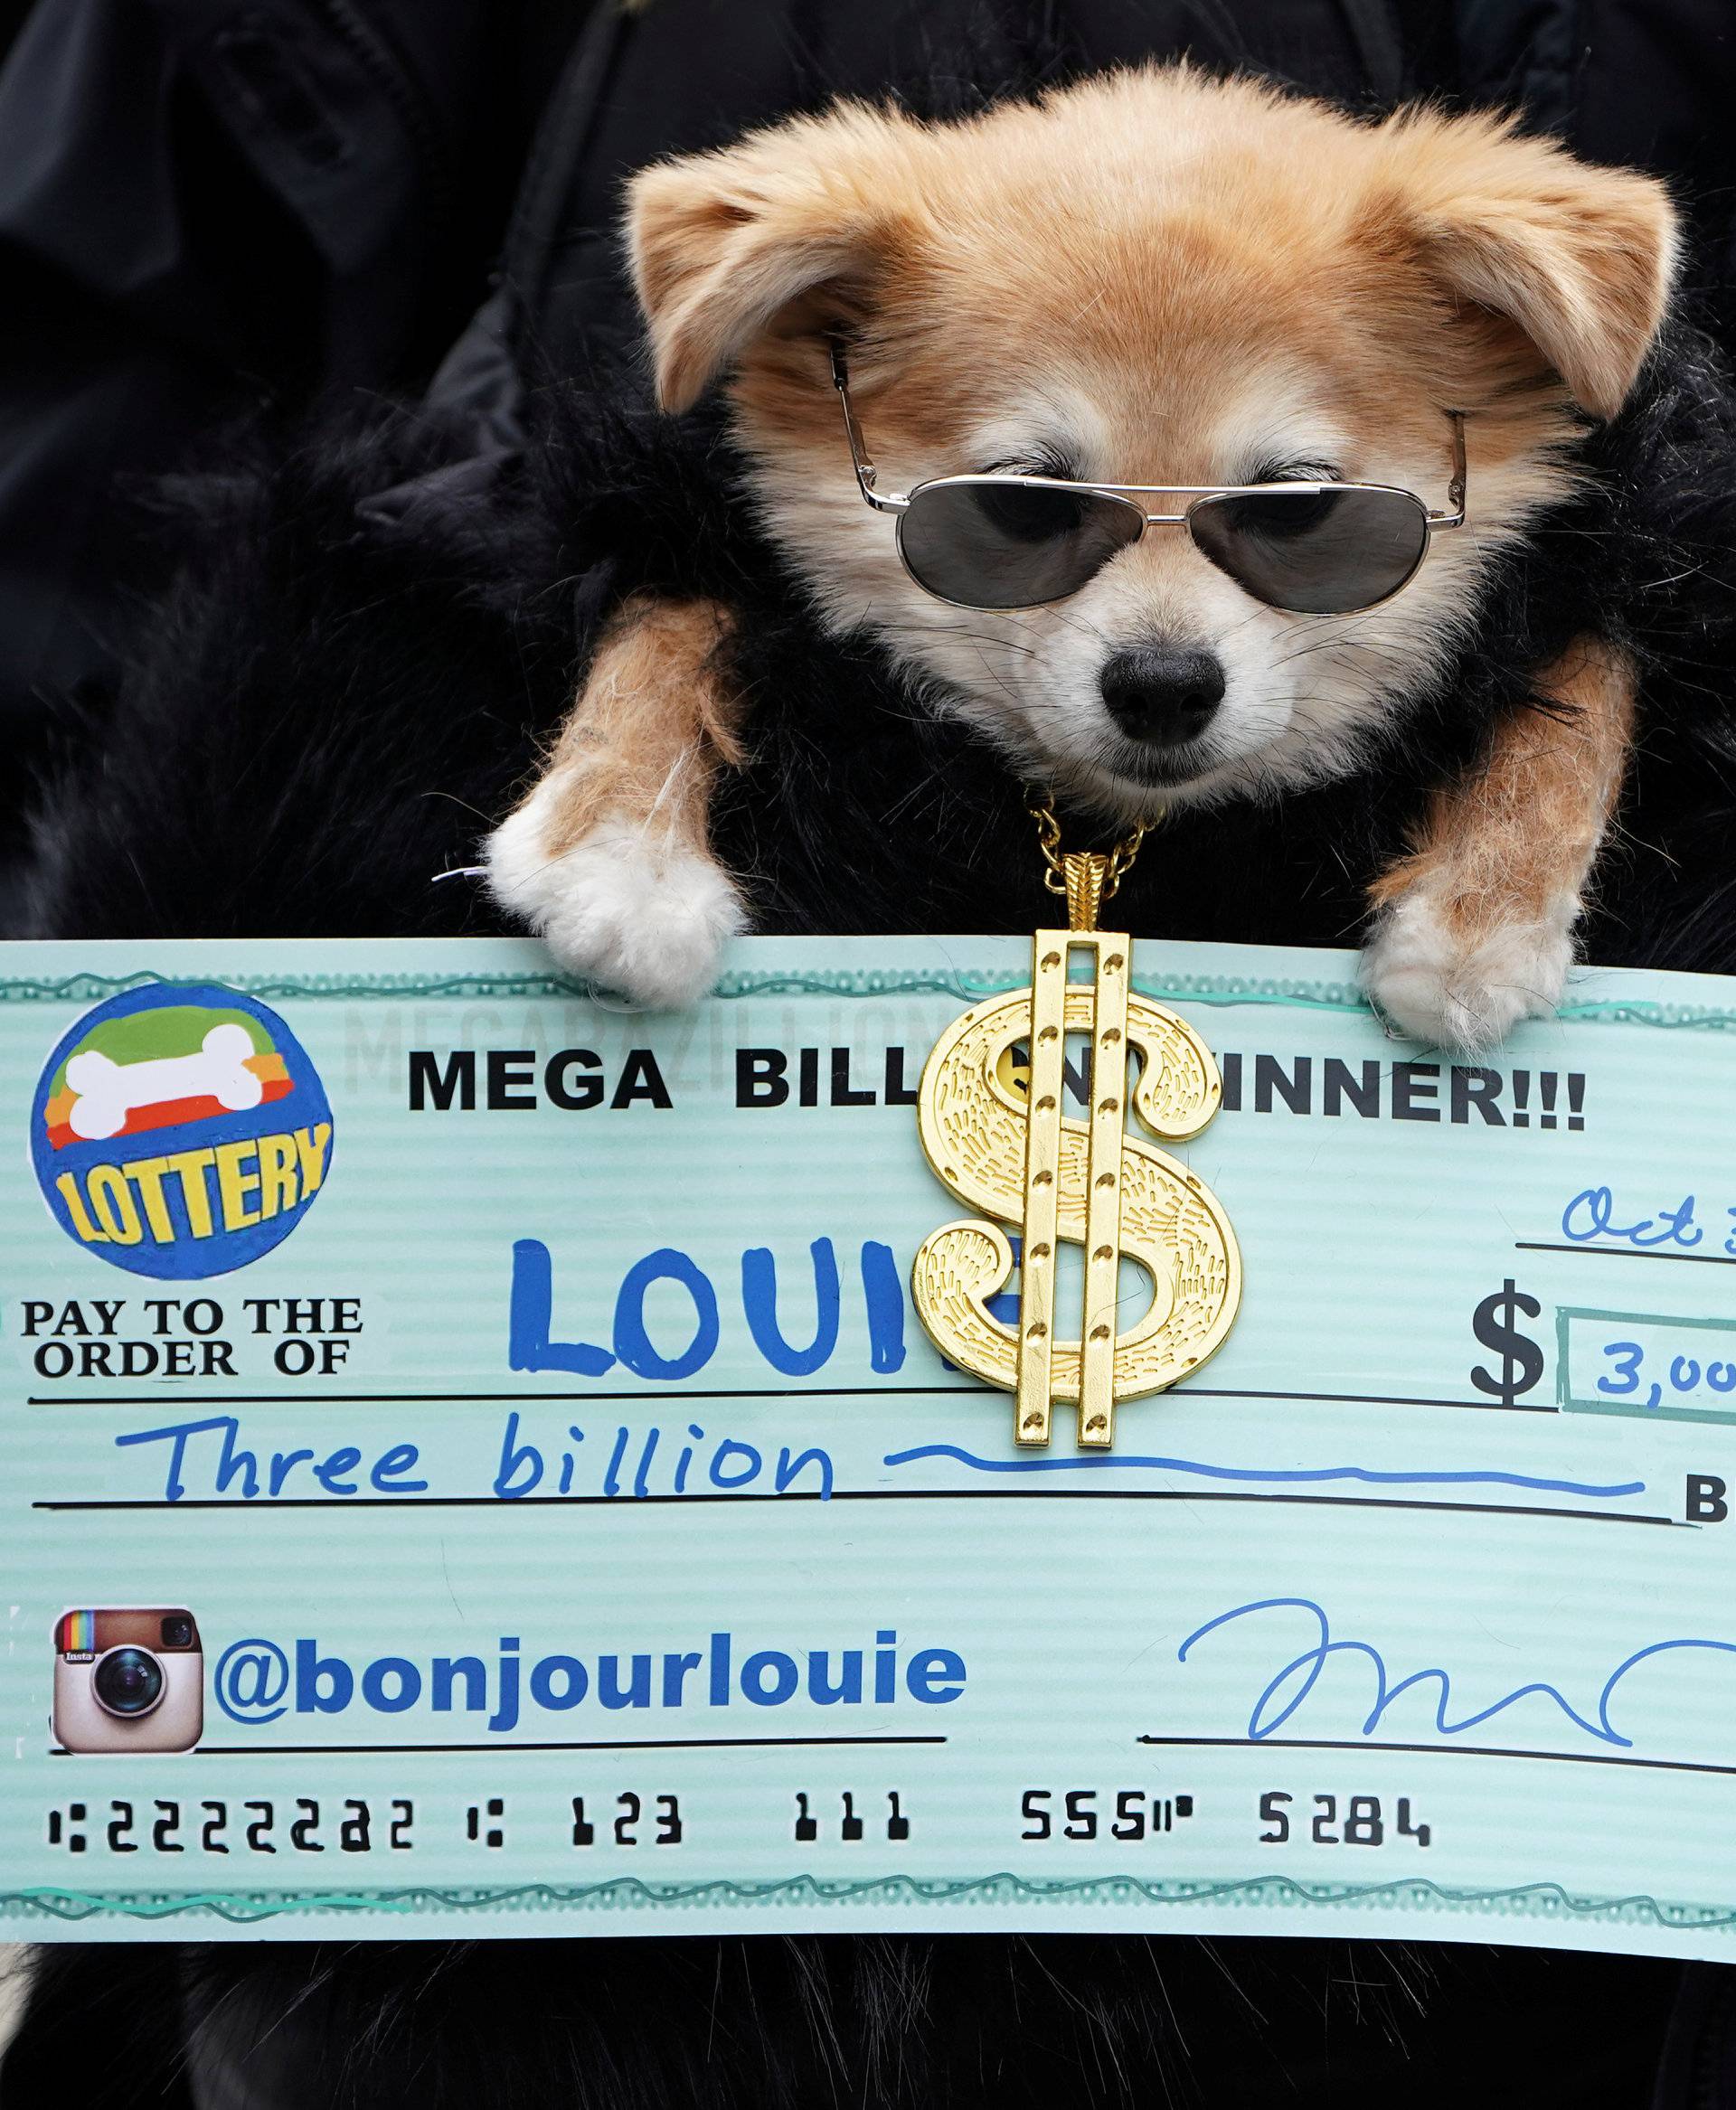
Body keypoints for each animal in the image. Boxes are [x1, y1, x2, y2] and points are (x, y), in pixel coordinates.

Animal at [483, 65, 1679, 1046]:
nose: (1162, 686)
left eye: (1300, 514)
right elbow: (669, 615)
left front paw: (1480, 921)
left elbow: (1591, 674)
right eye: (1019, 508)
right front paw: (619, 859)